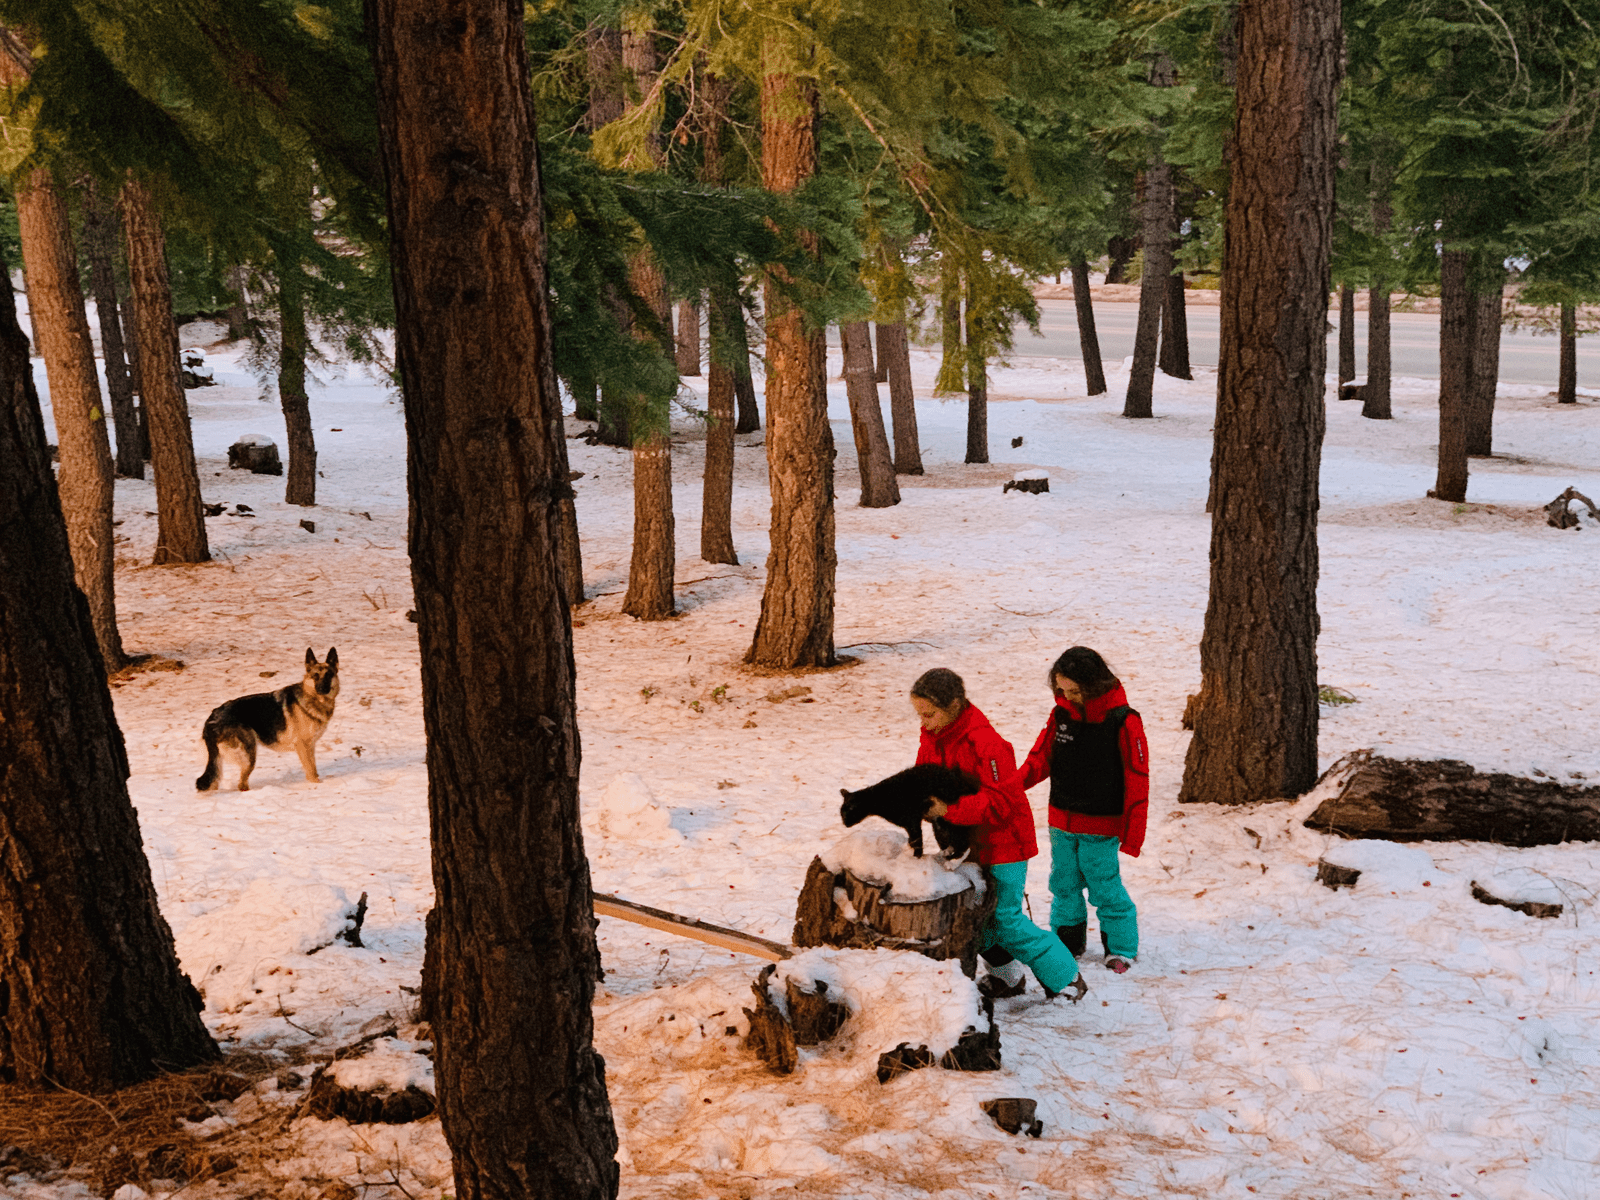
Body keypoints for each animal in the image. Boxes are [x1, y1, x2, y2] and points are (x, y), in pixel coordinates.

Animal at [196, 652, 340, 793]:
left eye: (328, 675)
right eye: (315, 676)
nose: (322, 689)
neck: (312, 698)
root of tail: (213, 717)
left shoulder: (310, 746)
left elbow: (313, 767)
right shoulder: (303, 746)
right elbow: (311, 770)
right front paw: (316, 785)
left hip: (223, 759)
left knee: (216, 779)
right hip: (249, 755)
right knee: (241, 784)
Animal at [844, 764, 979, 857]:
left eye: (847, 812)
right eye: (841, 814)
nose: (844, 823)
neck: (880, 798)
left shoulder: (912, 820)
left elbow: (917, 840)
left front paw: (916, 857)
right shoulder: (911, 823)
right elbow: (913, 840)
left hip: (949, 817)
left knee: (963, 841)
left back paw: (953, 860)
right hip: (940, 821)